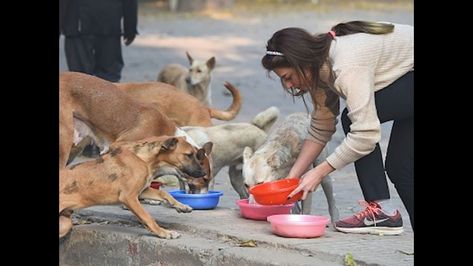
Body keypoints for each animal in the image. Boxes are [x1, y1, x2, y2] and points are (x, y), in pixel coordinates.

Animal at [59, 135, 206, 239]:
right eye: (189, 155)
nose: (204, 173)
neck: (143, 159)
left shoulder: (141, 191)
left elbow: (164, 194)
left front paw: (182, 206)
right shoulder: (129, 197)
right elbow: (147, 217)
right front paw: (163, 232)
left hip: (64, 224)